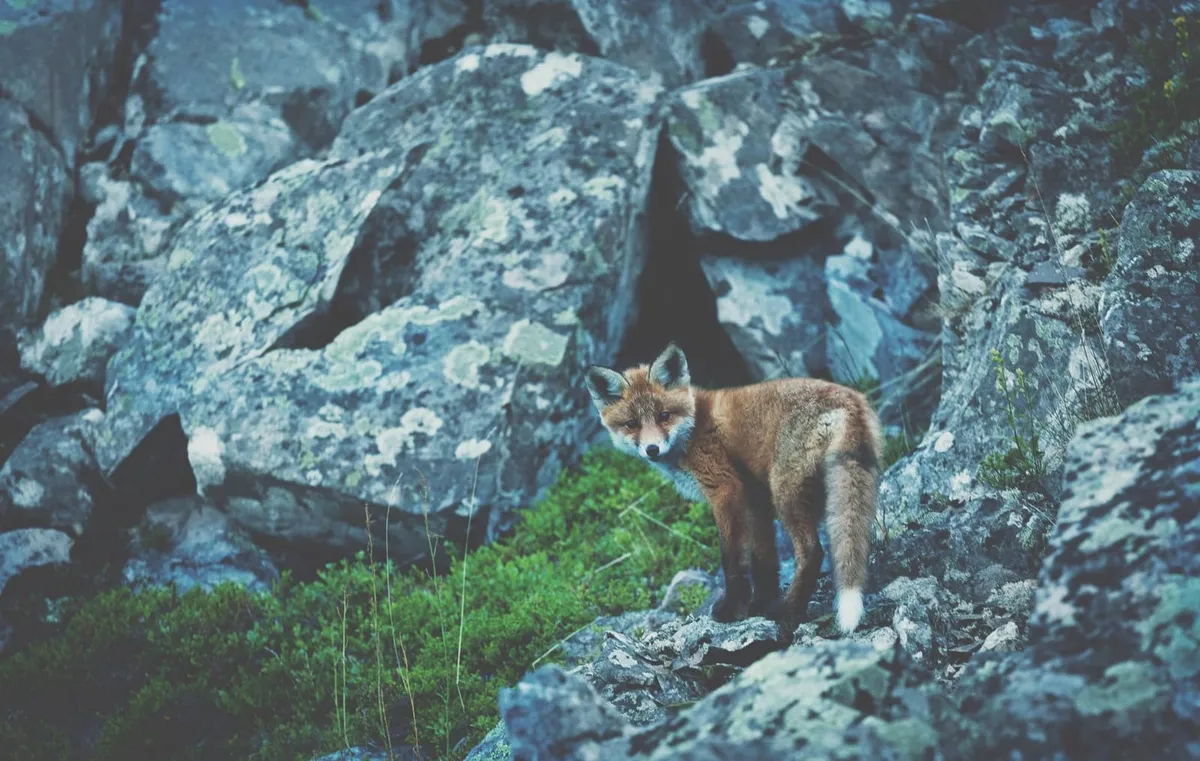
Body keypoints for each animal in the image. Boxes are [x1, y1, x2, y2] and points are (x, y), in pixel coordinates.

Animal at [584, 343, 883, 635]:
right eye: (632, 424)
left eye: (664, 416)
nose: (652, 449)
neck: (693, 428)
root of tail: (850, 399)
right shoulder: (755, 496)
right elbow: (764, 558)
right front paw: (761, 602)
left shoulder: (725, 489)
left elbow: (732, 560)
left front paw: (732, 610)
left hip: (785, 493)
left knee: (813, 552)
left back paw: (788, 612)